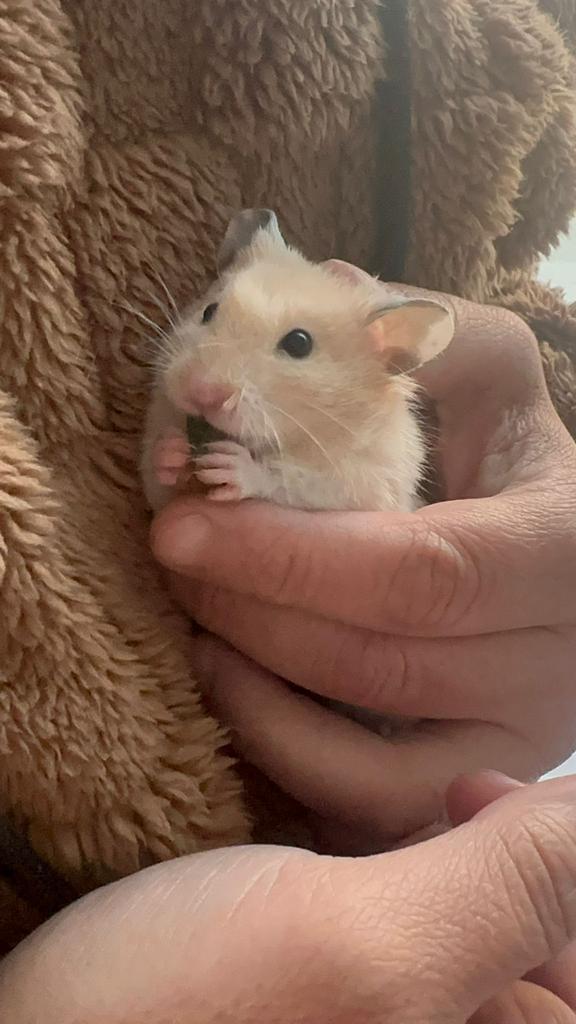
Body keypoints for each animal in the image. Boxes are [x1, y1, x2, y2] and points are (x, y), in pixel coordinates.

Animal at [141, 209, 454, 515]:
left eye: (299, 343)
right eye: (208, 311)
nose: (201, 392)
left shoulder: (367, 485)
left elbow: (294, 481)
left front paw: (230, 466)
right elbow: (160, 486)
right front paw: (169, 450)